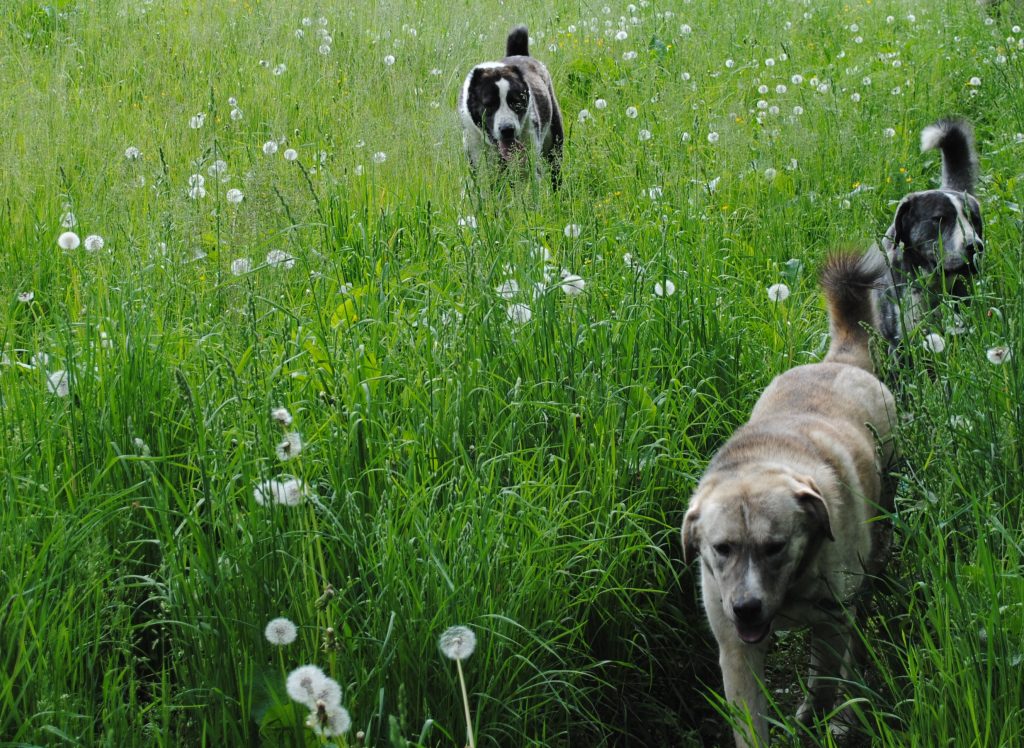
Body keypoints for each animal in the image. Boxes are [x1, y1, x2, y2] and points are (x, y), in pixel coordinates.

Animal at [688, 252, 897, 745]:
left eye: (775, 546)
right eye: (722, 548)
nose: (746, 608)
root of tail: (840, 358)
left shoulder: (831, 622)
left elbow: (823, 681)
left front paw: (818, 718)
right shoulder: (736, 648)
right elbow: (749, 721)